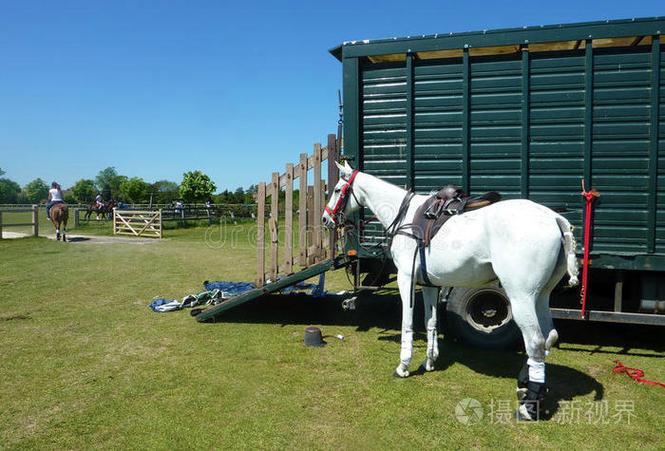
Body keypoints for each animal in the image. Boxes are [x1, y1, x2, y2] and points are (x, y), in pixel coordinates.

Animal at [322, 161, 579, 421]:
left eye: (337, 190)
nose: (325, 218)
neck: (403, 215)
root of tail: (555, 217)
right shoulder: (429, 284)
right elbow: (431, 322)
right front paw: (429, 362)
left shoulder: (406, 280)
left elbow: (407, 324)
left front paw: (403, 366)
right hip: (541, 296)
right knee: (548, 337)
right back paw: (526, 386)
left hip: (521, 298)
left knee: (535, 342)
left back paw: (528, 407)